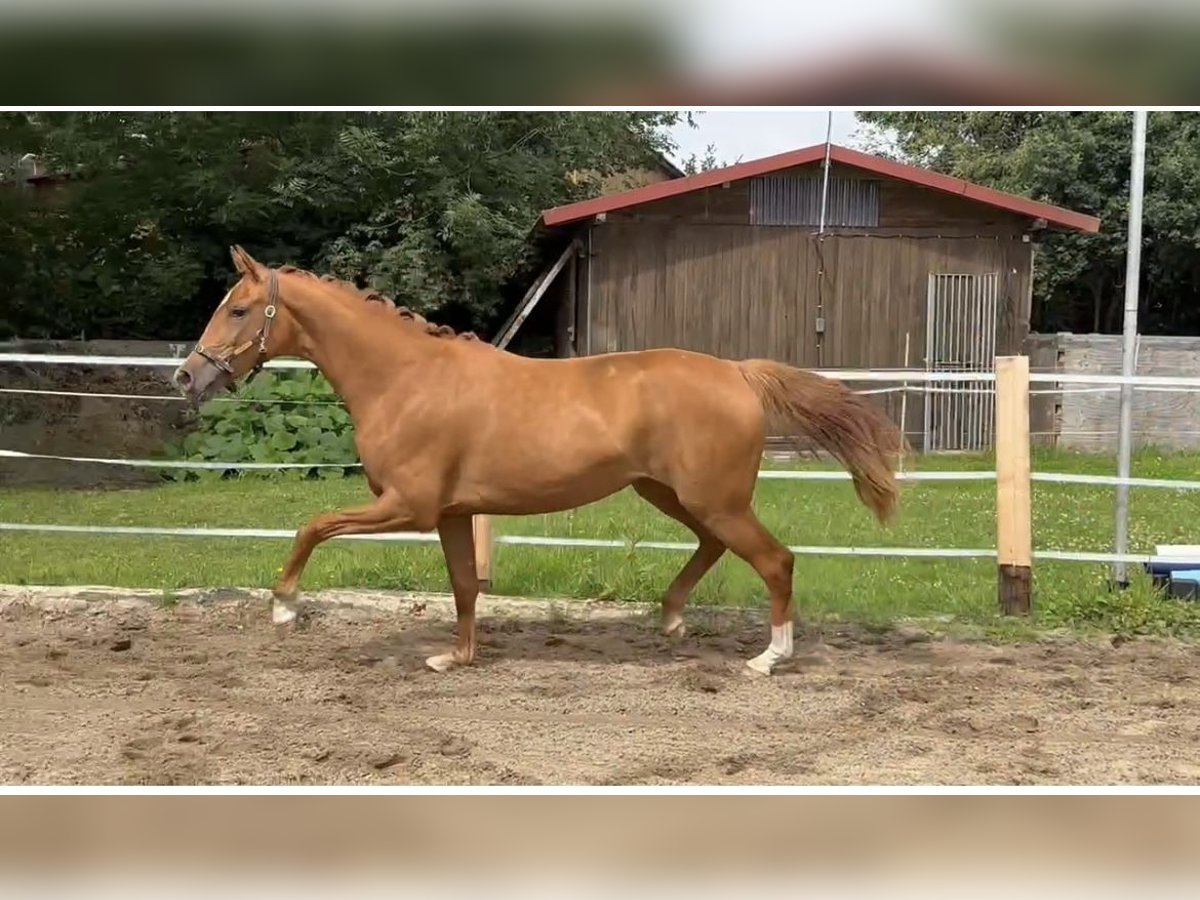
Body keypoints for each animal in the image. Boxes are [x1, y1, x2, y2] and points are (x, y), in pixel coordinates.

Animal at [175, 247, 902, 676]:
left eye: (239, 309)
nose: (186, 377)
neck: (405, 378)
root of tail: (737, 372)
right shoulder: (449, 514)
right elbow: (464, 585)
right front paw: (457, 657)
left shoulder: (407, 507)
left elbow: (313, 526)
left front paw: (284, 607)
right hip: (669, 494)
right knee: (715, 548)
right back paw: (671, 619)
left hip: (710, 499)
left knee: (775, 561)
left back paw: (768, 658)